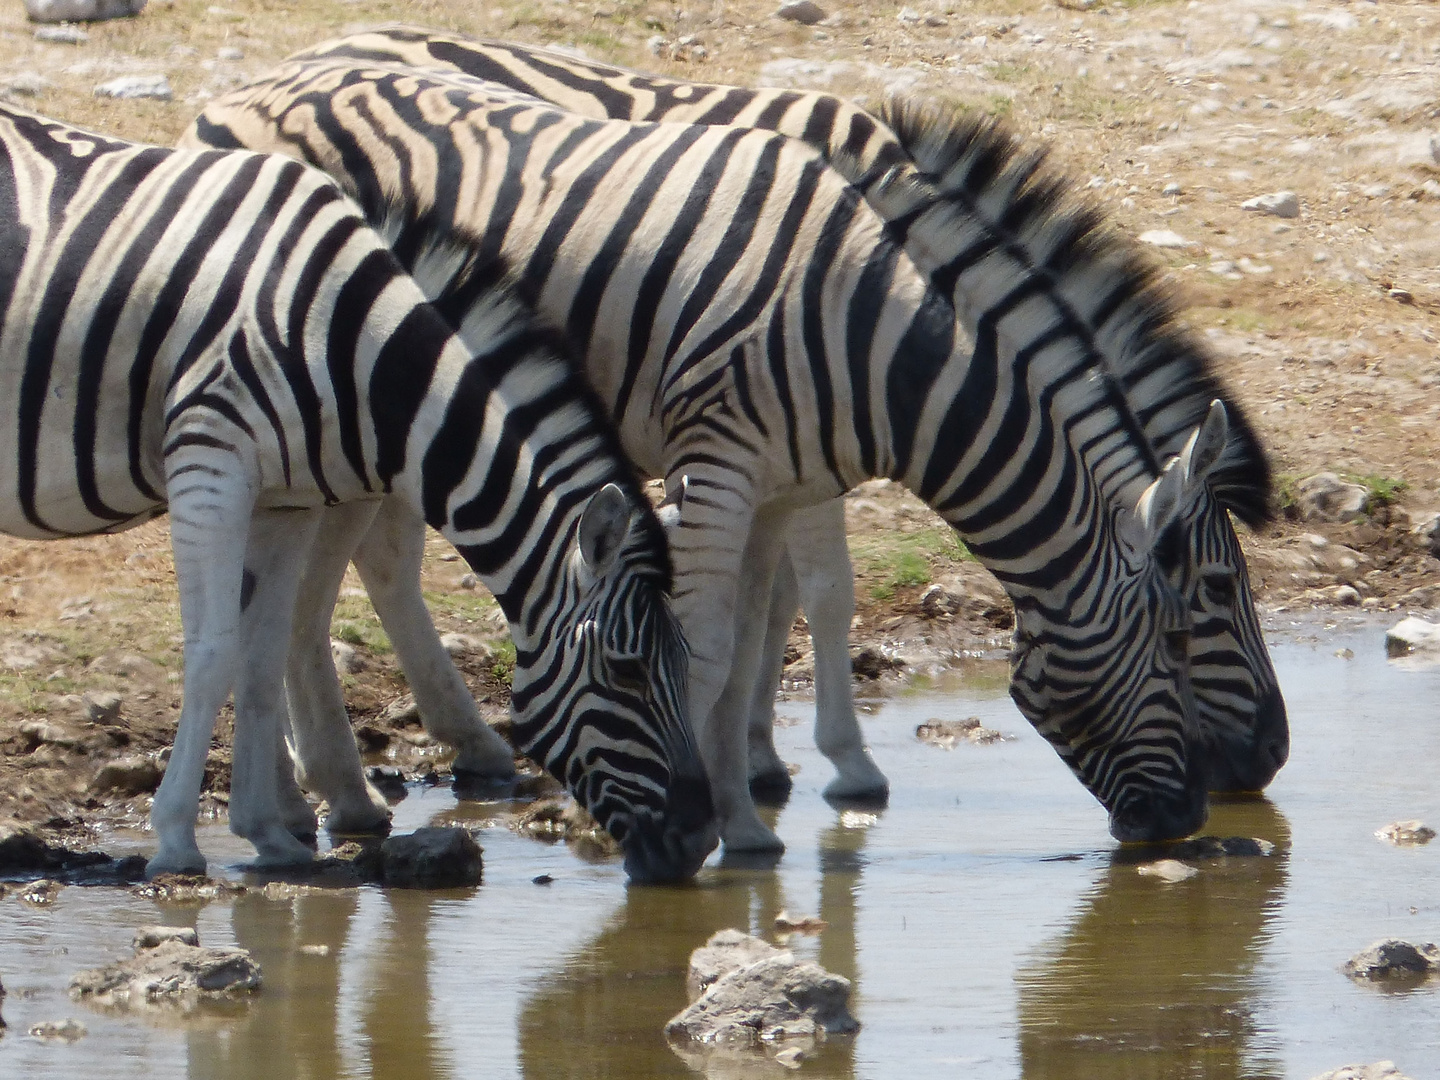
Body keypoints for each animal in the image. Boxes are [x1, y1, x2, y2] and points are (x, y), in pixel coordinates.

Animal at [0, 97, 717, 881]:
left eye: (684, 662)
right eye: (625, 671)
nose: (699, 839)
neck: (341, 341)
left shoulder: (285, 499)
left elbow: (260, 653)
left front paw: (270, 834)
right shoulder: (210, 460)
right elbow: (214, 652)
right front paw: (177, 839)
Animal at [182, 59, 1238, 852]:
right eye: (1192, 621)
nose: (1198, 809)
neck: (873, 334)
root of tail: (254, 87)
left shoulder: (779, 483)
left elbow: (754, 640)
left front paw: (747, 817)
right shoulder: (719, 466)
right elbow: (718, 639)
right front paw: (711, 814)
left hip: (346, 435)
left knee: (304, 594)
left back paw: (332, 798)